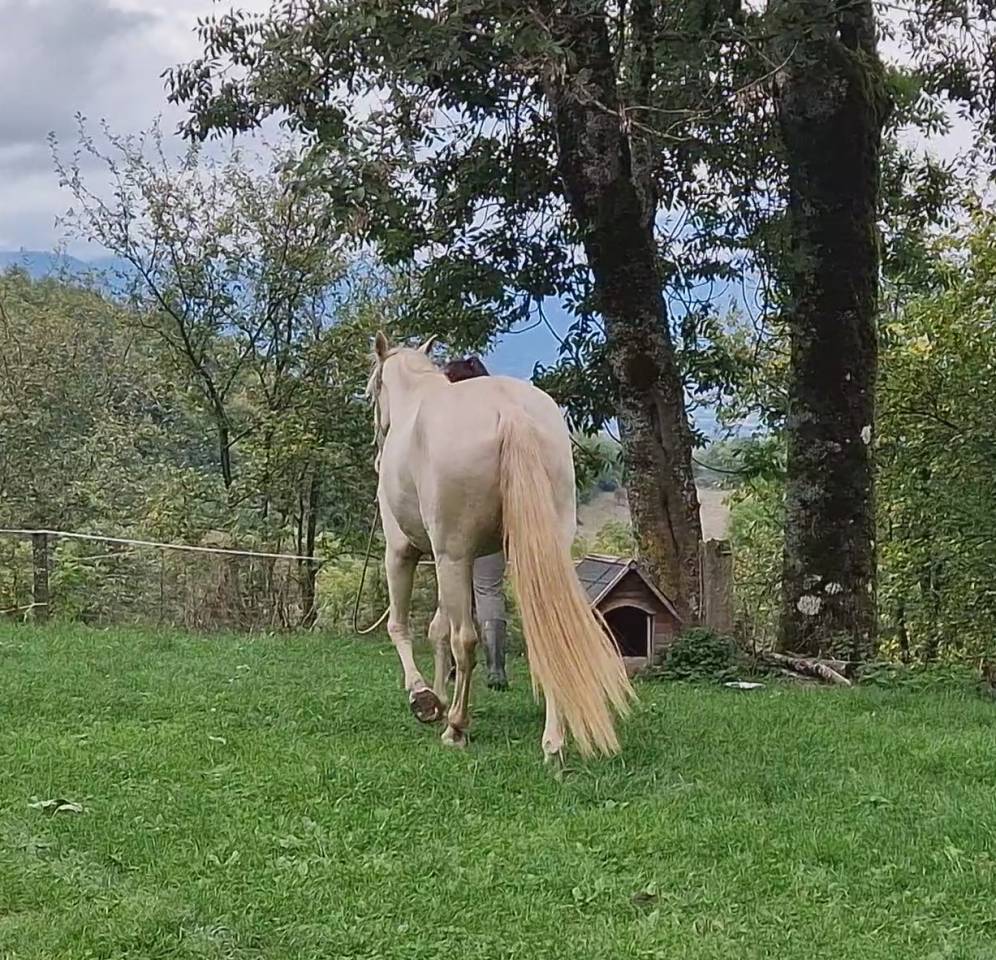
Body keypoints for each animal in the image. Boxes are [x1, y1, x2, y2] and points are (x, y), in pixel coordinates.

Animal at [366, 331, 634, 760]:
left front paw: (424, 698)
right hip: (532, 555)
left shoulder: (407, 552)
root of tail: (510, 412)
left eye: (372, 389)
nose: (377, 453)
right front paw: (438, 698)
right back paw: (552, 742)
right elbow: (437, 628)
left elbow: (402, 626)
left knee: (465, 639)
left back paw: (456, 728)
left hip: (453, 556)